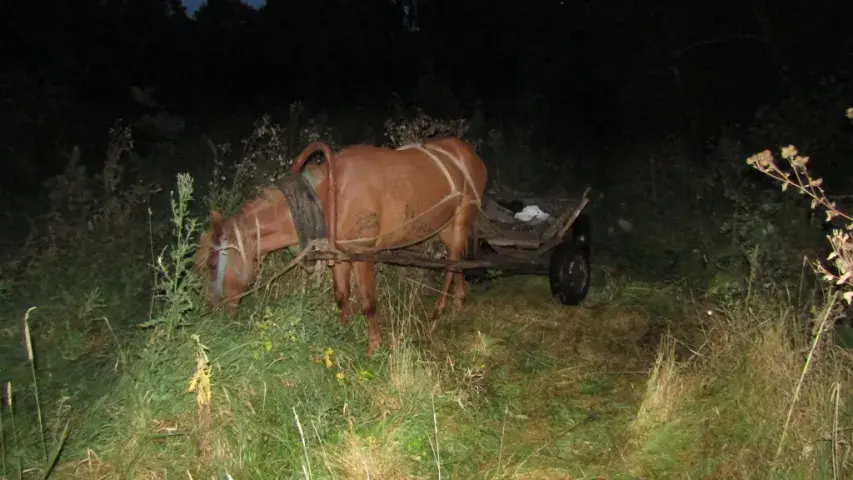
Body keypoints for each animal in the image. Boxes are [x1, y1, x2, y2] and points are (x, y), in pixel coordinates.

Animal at [193, 137, 486, 354]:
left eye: (211, 264)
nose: (210, 314)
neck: (327, 197)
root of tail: (472, 155)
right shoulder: (340, 255)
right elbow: (341, 295)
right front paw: (342, 329)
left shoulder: (363, 253)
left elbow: (368, 302)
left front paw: (374, 346)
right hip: (445, 226)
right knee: (456, 260)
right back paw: (458, 300)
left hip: (462, 219)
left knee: (453, 263)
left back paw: (441, 308)